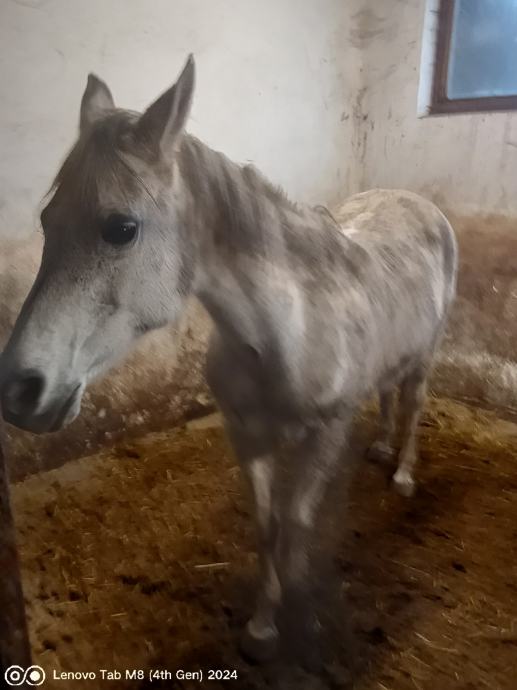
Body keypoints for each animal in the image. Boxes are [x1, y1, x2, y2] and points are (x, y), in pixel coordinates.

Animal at [0, 55, 457, 664]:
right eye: (47, 222)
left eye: (121, 228)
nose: (17, 390)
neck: (283, 332)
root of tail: (416, 202)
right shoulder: (246, 434)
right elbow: (266, 526)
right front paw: (263, 625)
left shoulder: (325, 435)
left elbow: (297, 525)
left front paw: (304, 623)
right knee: (388, 394)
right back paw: (382, 448)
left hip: (427, 354)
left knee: (413, 403)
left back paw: (403, 472)